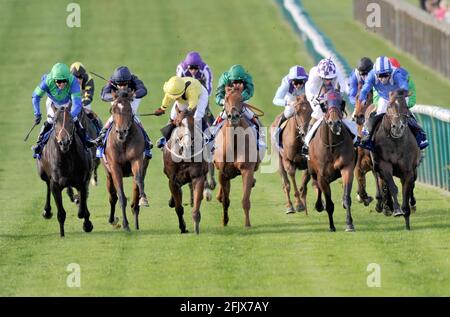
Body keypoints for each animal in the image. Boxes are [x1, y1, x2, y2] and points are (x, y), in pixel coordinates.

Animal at [36, 105, 93, 236]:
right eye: (55, 121)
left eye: (71, 121)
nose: (64, 142)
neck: (67, 158)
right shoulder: (55, 185)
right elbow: (61, 213)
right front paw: (62, 234)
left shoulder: (83, 181)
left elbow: (83, 208)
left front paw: (87, 224)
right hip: (42, 173)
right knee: (47, 185)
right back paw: (47, 211)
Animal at [102, 92, 150, 231]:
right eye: (113, 110)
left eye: (129, 110)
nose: (121, 132)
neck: (123, 143)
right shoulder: (115, 167)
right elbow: (121, 196)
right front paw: (125, 224)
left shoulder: (136, 159)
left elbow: (139, 179)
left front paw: (144, 199)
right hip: (108, 174)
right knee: (112, 197)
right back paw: (113, 220)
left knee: (135, 199)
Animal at [214, 86, 260, 227]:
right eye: (226, 99)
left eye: (241, 99)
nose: (233, 116)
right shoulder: (223, 172)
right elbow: (225, 200)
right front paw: (224, 221)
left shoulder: (247, 169)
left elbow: (245, 200)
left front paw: (247, 224)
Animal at [308, 92, 356, 231]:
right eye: (324, 104)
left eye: (341, 102)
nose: (334, 123)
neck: (332, 146)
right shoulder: (322, 176)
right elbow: (329, 203)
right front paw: (331, 226)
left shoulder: (347, 167)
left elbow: (347, 197)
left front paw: (349, 223)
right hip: (312, 171)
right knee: (316, 185)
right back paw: (319, 205)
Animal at [370, 89, 420, 230]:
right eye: (389, 106)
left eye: (406, 107)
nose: (398, 127)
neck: (395, 142)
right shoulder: (384, 165)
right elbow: (393, 187)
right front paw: (397, 210)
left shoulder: (408, 170)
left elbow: (406, 190)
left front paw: (407, 219)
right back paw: (386, 206)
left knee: (412, 184)